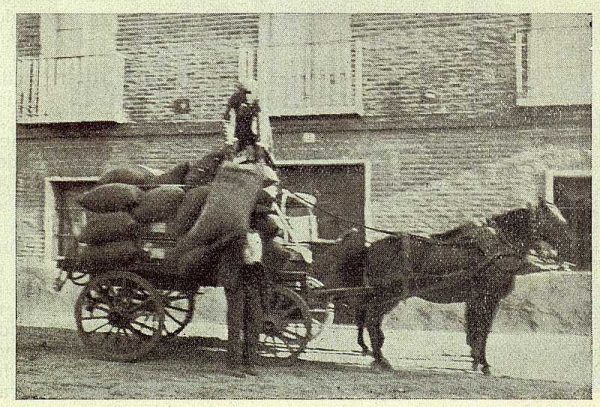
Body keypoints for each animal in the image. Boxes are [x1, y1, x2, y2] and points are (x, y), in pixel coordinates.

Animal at [336, 198, 576, 376]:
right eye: (553, 219)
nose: (572, 242)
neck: (497, 249)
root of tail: (370, 248)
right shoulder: (488, 297)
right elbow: (483, 329)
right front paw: (484, 364)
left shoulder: (477, 298)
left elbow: (475, 329)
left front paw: (475, 359)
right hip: (389, 294)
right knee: (371, 319)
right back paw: (380, 359)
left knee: (369, 319)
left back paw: (374, 354)